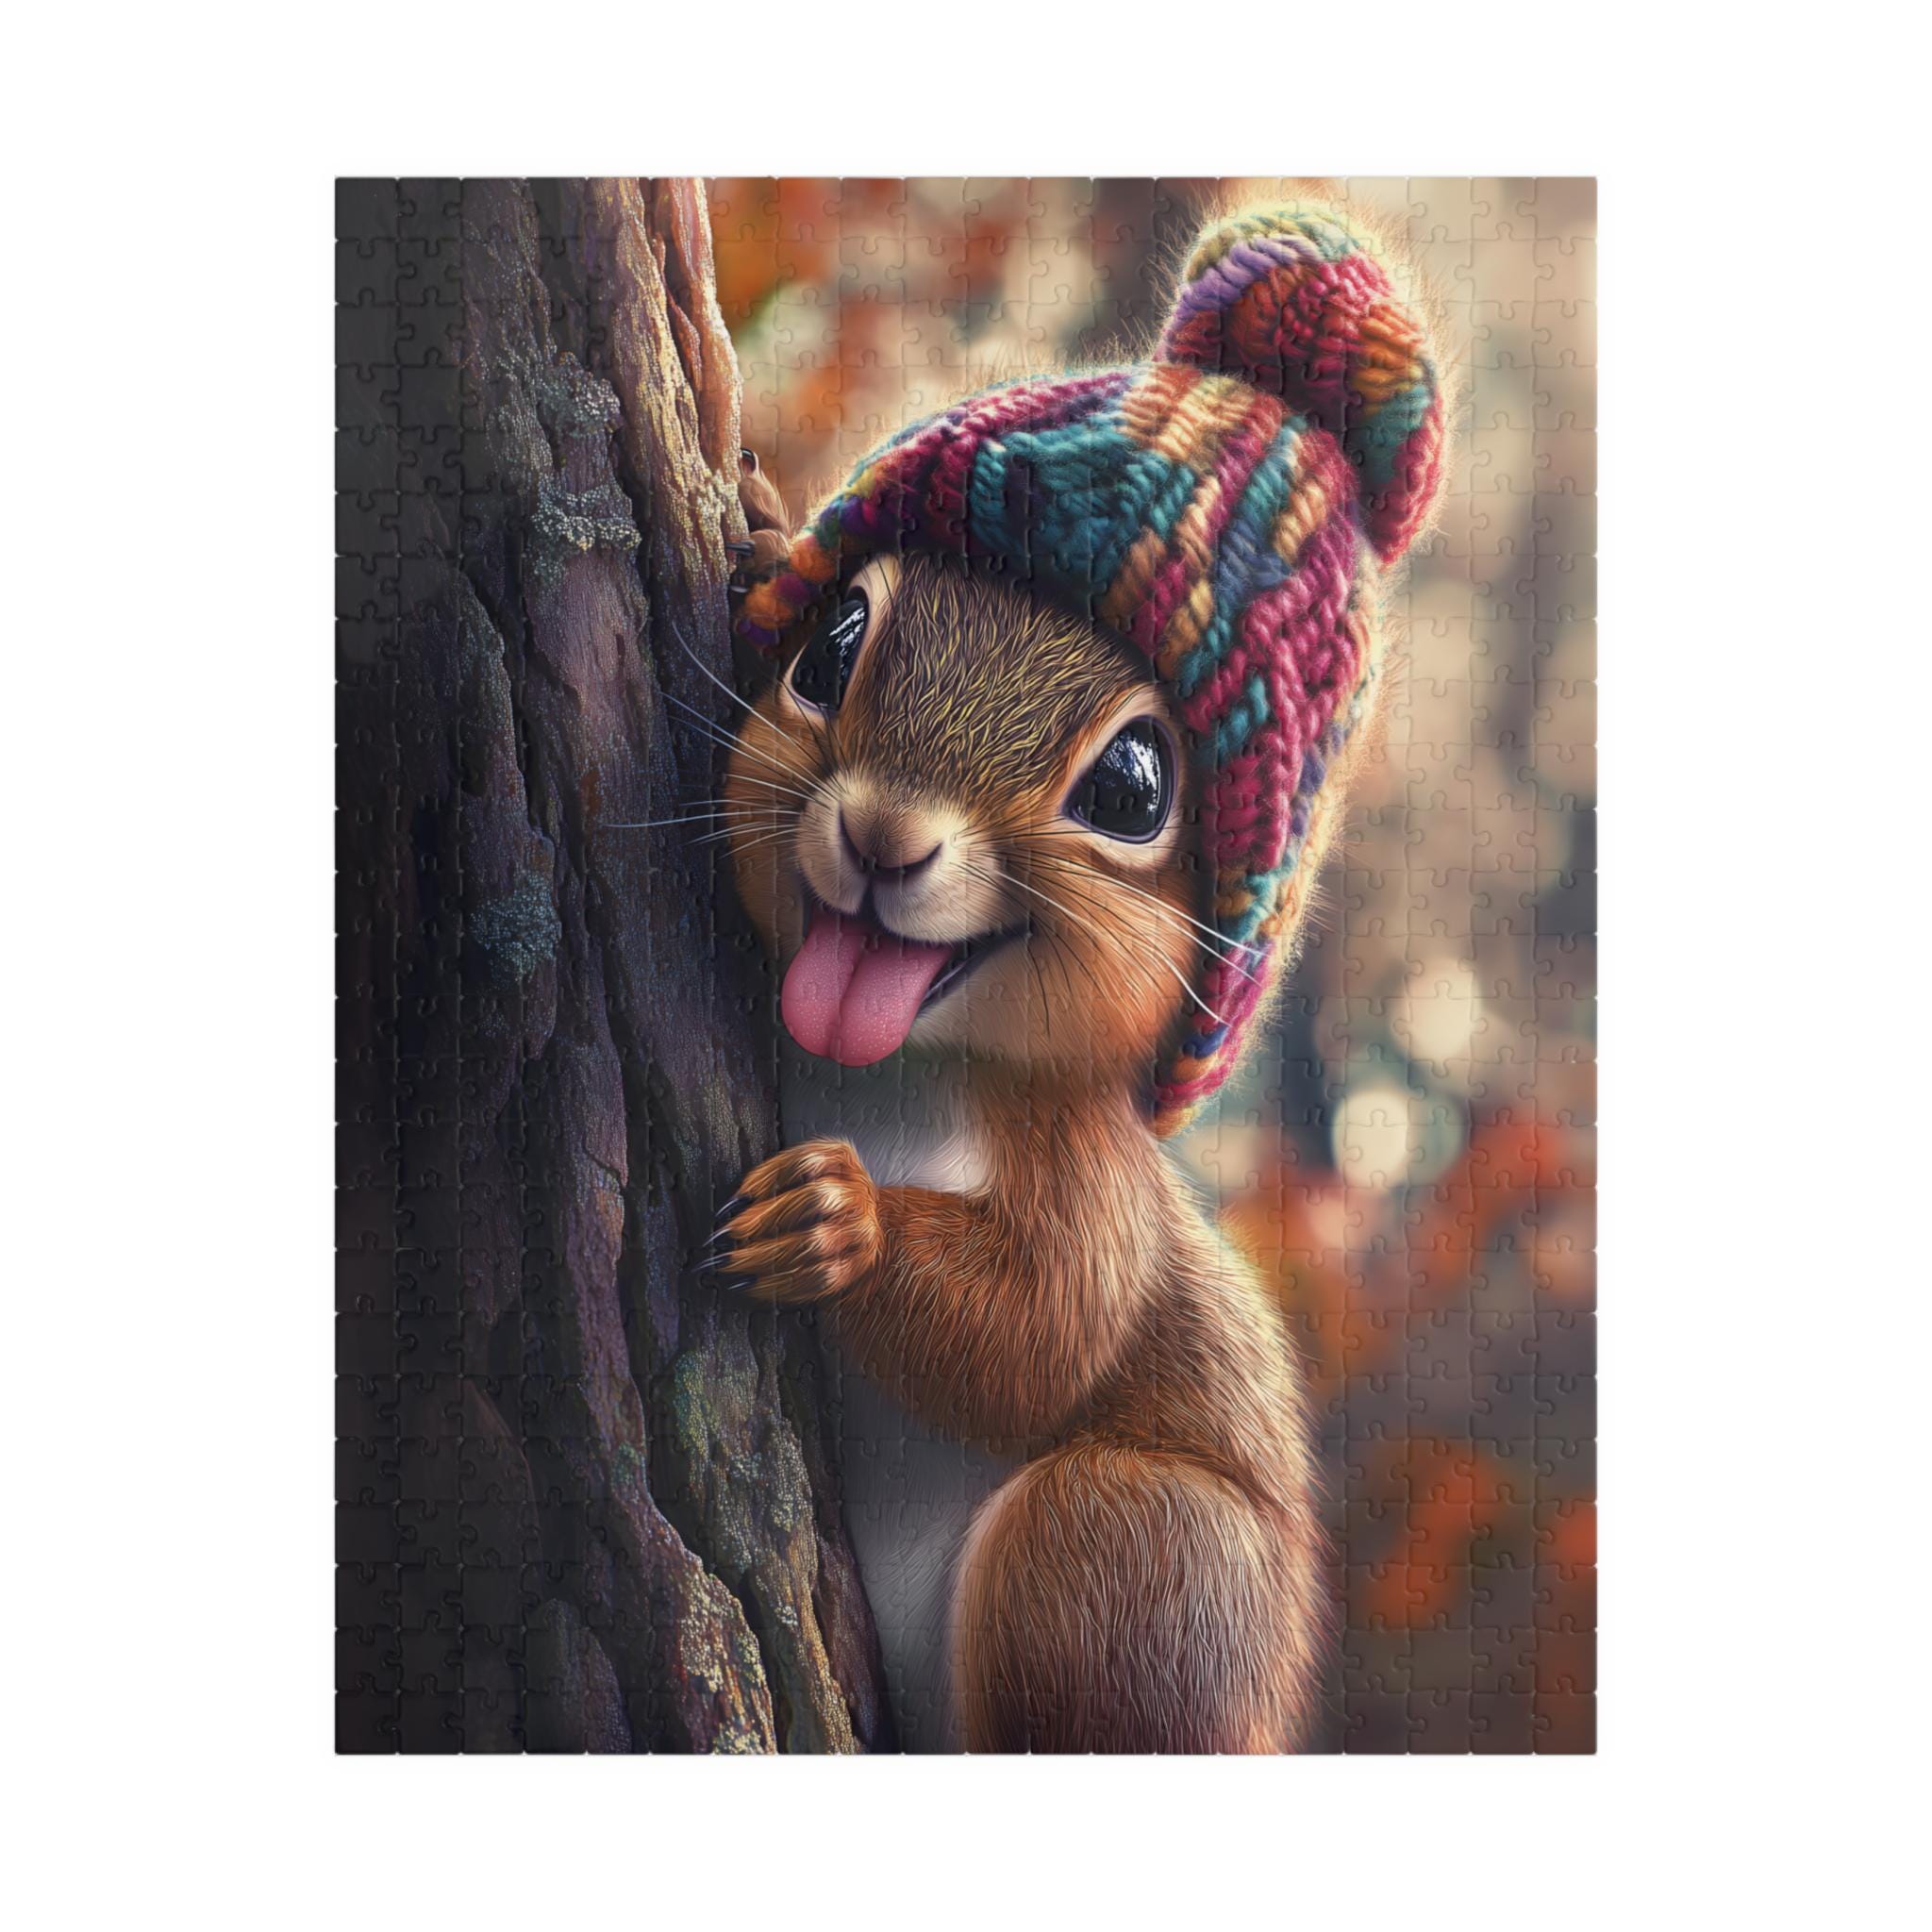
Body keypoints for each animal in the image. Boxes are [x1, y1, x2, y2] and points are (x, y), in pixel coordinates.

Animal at [714, 206, 1447, 1752]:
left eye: (1131, 786)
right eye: (831, 643)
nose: (881, 839)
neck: (890, 1063)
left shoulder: (1087, 1166)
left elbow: (1043, 1325)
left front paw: (833, 1222)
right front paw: (753, 531)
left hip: (1127, 1563)